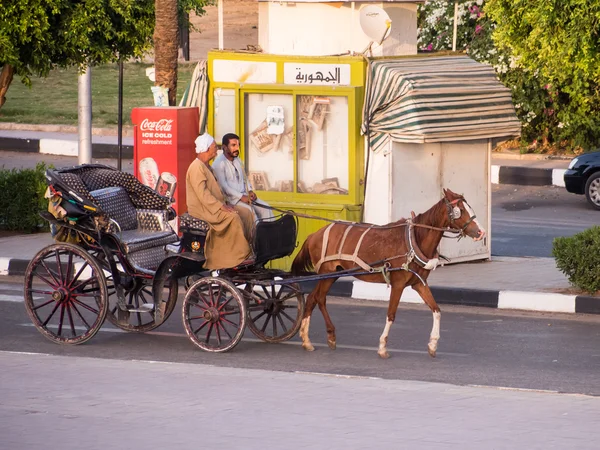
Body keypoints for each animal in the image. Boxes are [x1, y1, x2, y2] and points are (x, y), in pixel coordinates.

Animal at [292, 188, 488, 356]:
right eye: (460, 210)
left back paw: (309, 339)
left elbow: (437, 310)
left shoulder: (419, 283)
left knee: (313, 298)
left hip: (332, 274)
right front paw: (382, 346)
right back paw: (324, 336)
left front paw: (433, 344)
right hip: (327, 272)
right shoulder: (398, 284)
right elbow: (391, 314)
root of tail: (314, 234)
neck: (414, 239)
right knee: (319, 298)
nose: (481, 232)